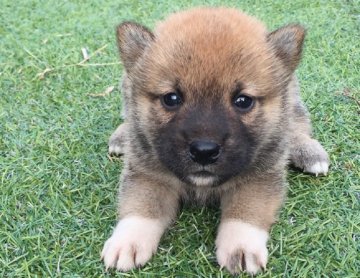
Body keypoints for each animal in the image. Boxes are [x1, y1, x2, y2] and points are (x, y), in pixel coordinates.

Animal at [100, 7, 330, 274]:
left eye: (243, 101)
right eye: (171, 98)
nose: (204, 151)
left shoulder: (259, 177)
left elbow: (245, 212)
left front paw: (241, 246)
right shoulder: (148, 174)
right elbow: (141, 208)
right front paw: (128, 240)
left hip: (292, 99)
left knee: (297, 125)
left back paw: (309, 151)